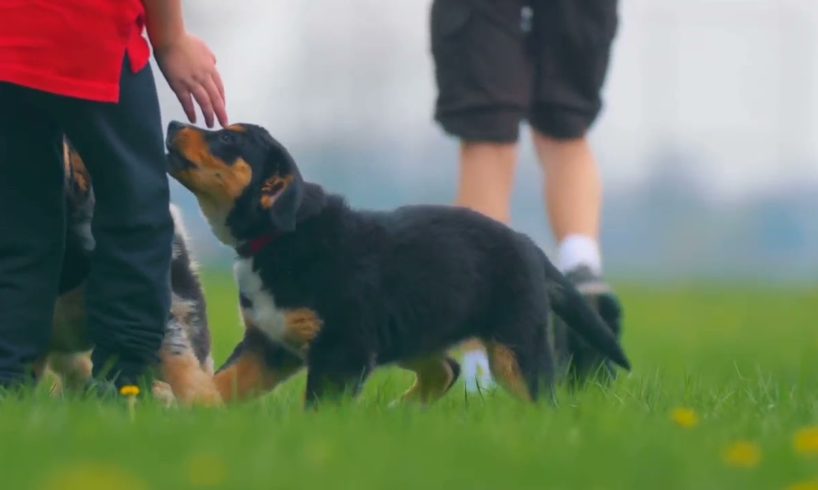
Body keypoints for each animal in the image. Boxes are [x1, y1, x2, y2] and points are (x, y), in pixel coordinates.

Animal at [164, 121, 624, 406]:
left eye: (228, 140)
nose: (171, 125)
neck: (277, 238)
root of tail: (529, 244)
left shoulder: (342, 348)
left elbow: (318, 406)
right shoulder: (269, 343)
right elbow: (223, 382)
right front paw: (194, 411)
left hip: (516, 343)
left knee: (539, 397)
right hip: (412, 330)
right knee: (446, 368)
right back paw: (400, 411)